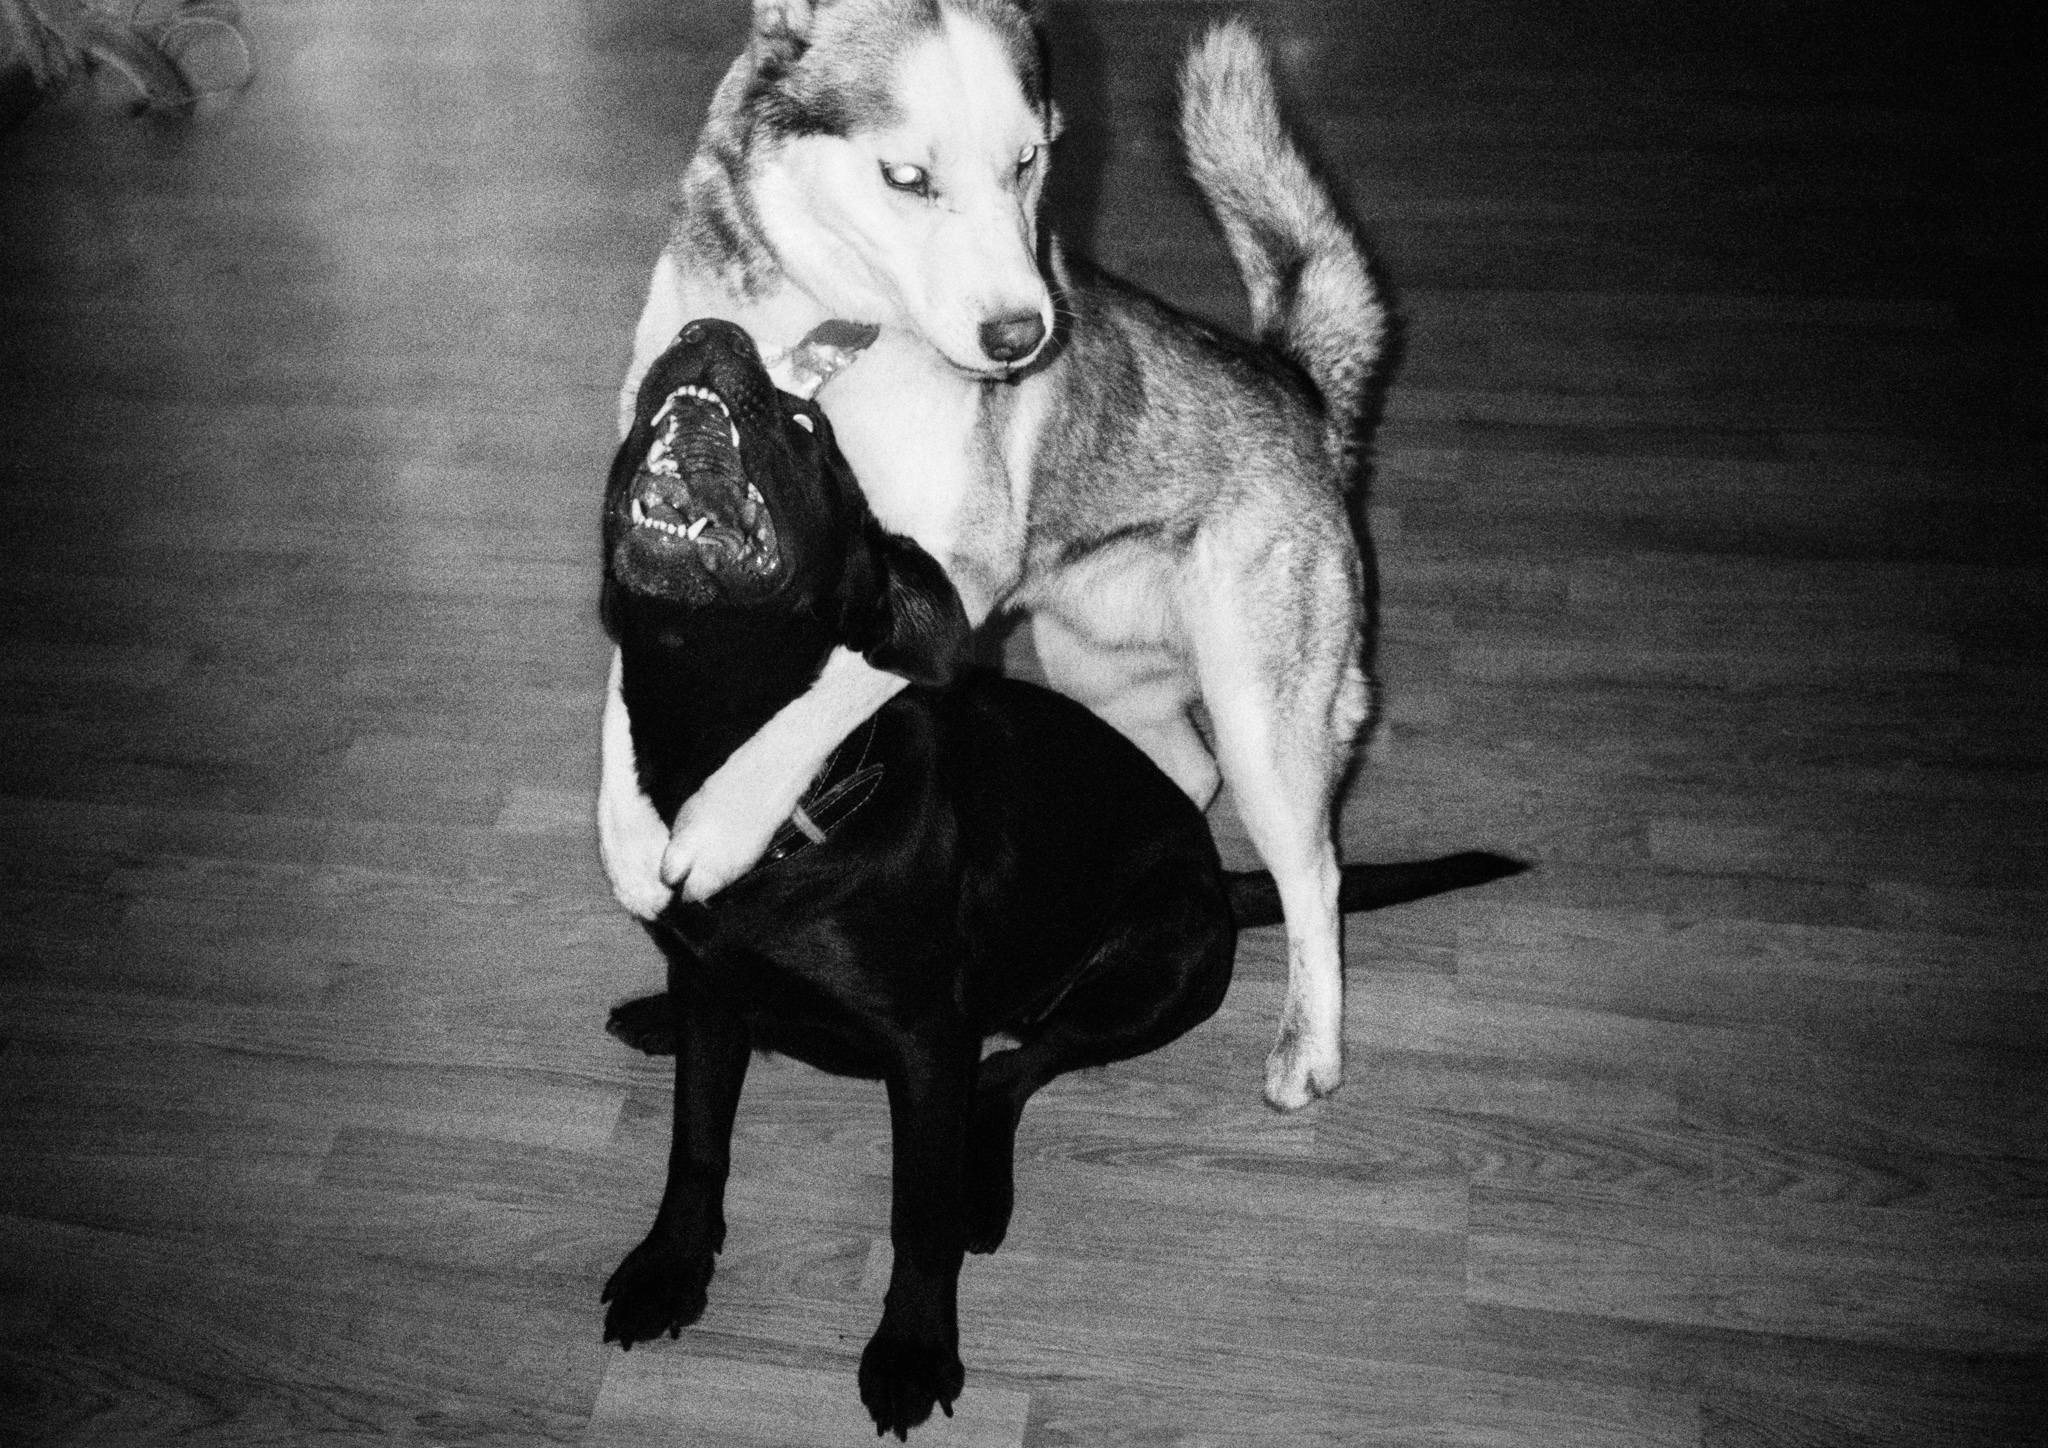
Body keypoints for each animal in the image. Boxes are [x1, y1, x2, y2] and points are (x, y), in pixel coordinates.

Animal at [598, 0, 1389, 1110]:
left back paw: (1307, 1046)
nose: (1023, 336)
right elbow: (624, 687)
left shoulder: (951, 585)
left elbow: (835, 688)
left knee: (1314, 873)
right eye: (906, 178)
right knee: (1185, 773)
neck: (826, 334)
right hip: (1099, 672)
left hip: (1259, 715)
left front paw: (720, 826)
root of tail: (1297, 391)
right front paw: (628, 833)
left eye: (1029, 161)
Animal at [598, 319, 1520, 1437]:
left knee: (1015, 1067)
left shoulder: (925, 1043)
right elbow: (695, 1143)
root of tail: (1215, 873)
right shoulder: (710, 981)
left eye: (808, 425)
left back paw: (982, 1191)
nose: (707, 333)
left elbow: (917, 1215)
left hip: (1163, 967)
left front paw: (913, 1348)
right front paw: (667, 1268)